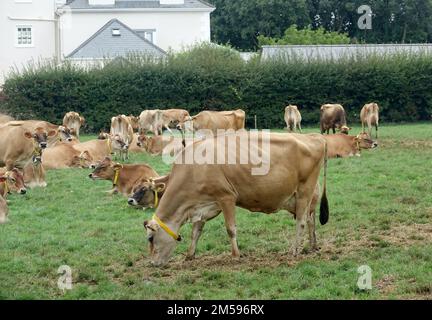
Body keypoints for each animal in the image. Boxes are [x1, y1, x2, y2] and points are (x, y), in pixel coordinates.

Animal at [143, 131, 330, 266]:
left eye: (150, 238)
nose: (152, 263)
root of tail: (314, 136)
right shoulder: (202, 205)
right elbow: (196, 231)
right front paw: (190, 255)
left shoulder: (226, 197)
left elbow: (230, 229)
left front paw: (236, 255)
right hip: (304, 197)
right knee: (311, 219)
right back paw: (313, 246)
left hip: (304, 190)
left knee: (302, 222)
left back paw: (294, 250)